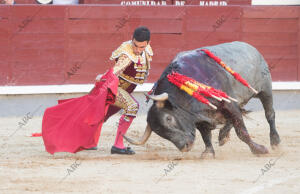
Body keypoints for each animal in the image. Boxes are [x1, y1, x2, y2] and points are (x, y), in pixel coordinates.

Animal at [123, 41, 280, 158]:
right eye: (158, 131)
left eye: (168, 118)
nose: (184, 147)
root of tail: (251, 48)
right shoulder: (198, 118)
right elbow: (206, 135)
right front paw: (208, 153)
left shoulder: (228, 103)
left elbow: (242, 131)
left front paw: (259, 150)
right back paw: (223, 136)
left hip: (265, 89)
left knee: (269, 114)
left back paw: (275, 142)